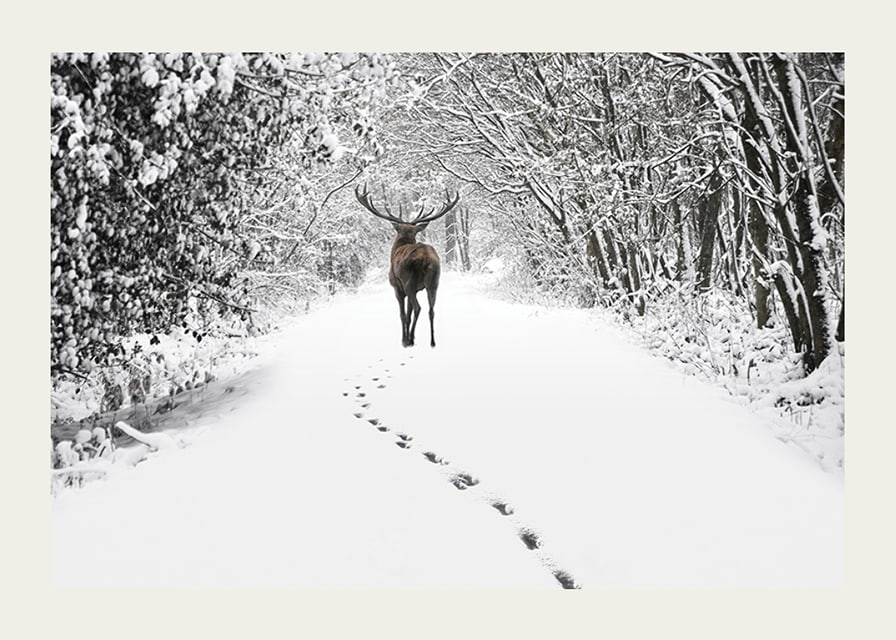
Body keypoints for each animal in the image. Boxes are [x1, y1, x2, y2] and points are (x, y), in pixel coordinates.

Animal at [355, 184, 459, 348]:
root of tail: (425, 257)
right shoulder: (416, 289)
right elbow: (409, 314)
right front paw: (412, 336)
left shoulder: (397, 287)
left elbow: (403, 314)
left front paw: (404, 339)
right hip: (434, 281)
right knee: (431, 310)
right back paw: (432, 342)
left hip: (409, 280)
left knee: (418, 308)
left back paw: (409, 340)